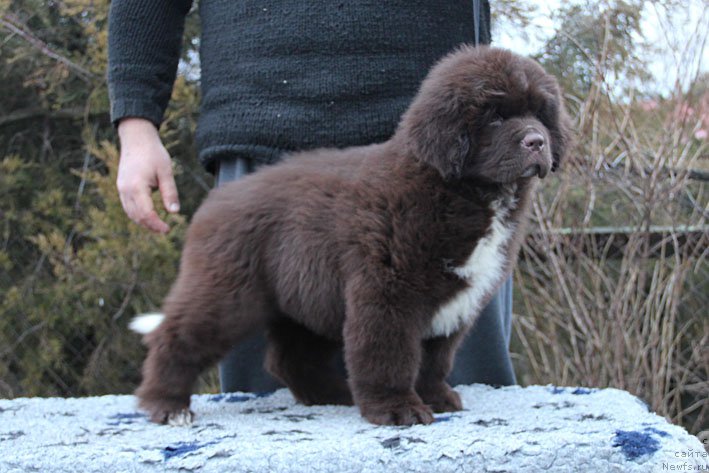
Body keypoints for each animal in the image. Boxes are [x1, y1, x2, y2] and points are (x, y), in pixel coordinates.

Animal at [131, 46, 568, 426]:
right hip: (228, 291)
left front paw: (436, 397)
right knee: (177, 337)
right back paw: (167, 405)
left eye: (539, 113)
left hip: (305, 297)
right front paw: (397, 409)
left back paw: (332, 394)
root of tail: (214, 202)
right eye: (494, 116)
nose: (537, 142)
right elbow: (388, 353)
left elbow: (435, 357)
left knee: (290, 358)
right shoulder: (388, 287)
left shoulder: (456, 299)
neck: (464, 190)